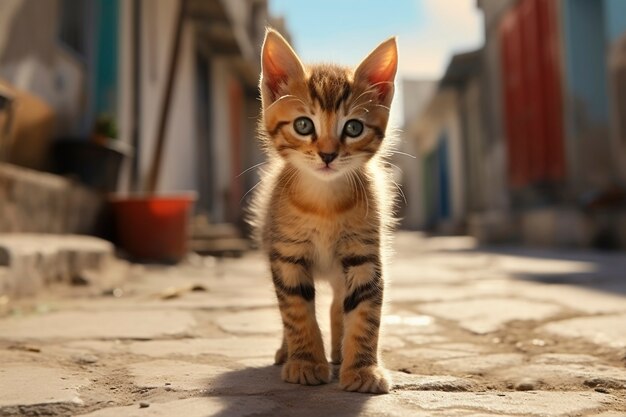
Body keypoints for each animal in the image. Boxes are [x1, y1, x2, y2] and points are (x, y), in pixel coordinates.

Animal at [249, 29, 394, 394]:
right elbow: (296, 311)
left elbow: (364, 312)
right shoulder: (287, 256)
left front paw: (362, 368)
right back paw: (286, 352)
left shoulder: (364, 256)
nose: (328, 154)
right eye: (303, 125)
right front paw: (305, 362)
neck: (325, 203)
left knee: (337, 301)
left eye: (353, 128)